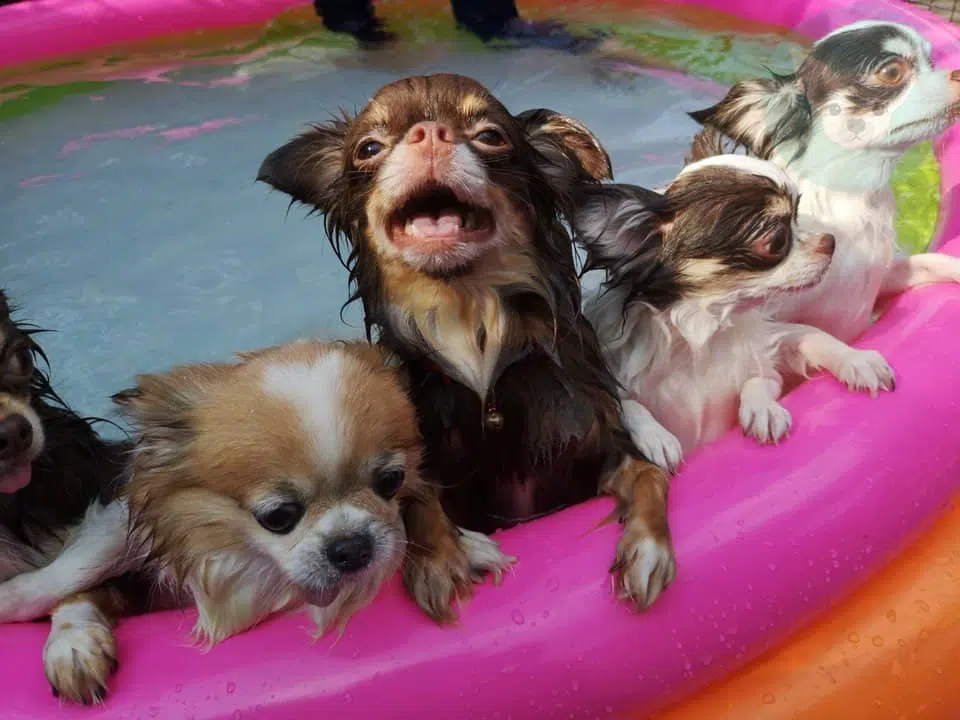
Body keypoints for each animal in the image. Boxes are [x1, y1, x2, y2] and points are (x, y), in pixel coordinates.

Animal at [255, 74, 676, 608]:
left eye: (490, 136)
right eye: (369, 148)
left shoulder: (595, 448)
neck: (472, 326)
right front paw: (439, 558)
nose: (428, 133)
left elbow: (647, 474)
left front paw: (648, 547)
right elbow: (415, 496)